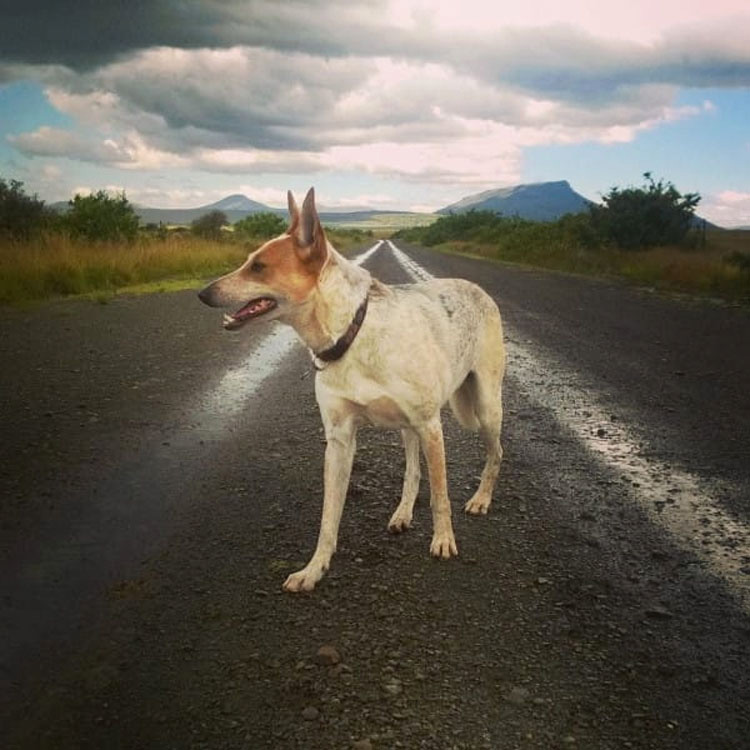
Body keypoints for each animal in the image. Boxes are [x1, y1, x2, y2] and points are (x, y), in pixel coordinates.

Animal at [198, 189, 506, 592]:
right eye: (249, 261)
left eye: (259, 267)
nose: (203, 293)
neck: (352, 331)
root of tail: (476, 287)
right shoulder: (340, 440)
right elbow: (329, 517)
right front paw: (314, 568)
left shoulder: (430, 425)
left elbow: (441, 497)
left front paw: (443, 539)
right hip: (410, 428)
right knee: (412, 469)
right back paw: (403, 512)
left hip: (485, 409)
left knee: (495, 454)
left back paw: (482, 499)